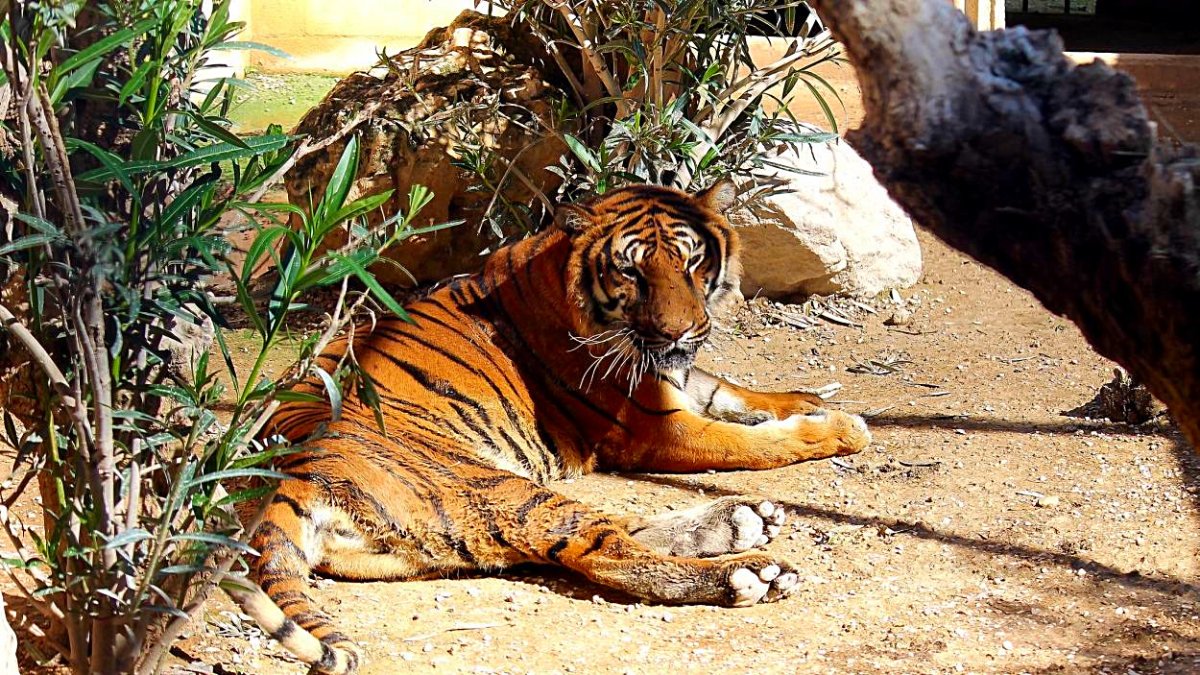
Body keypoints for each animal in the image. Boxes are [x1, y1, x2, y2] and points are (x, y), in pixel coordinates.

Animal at [225, 181, 868, 667]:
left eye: (691, 261)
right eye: (632, 272)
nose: (680, 332)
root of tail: (288, 476)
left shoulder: (681, 381)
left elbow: (736, 391)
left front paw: (803, 400)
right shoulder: (658, 427)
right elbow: (757, 444)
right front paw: (841, 426)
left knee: (611, 530)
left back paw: (743, 520)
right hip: (497, 487)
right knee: (607, 552)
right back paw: (749, 571)